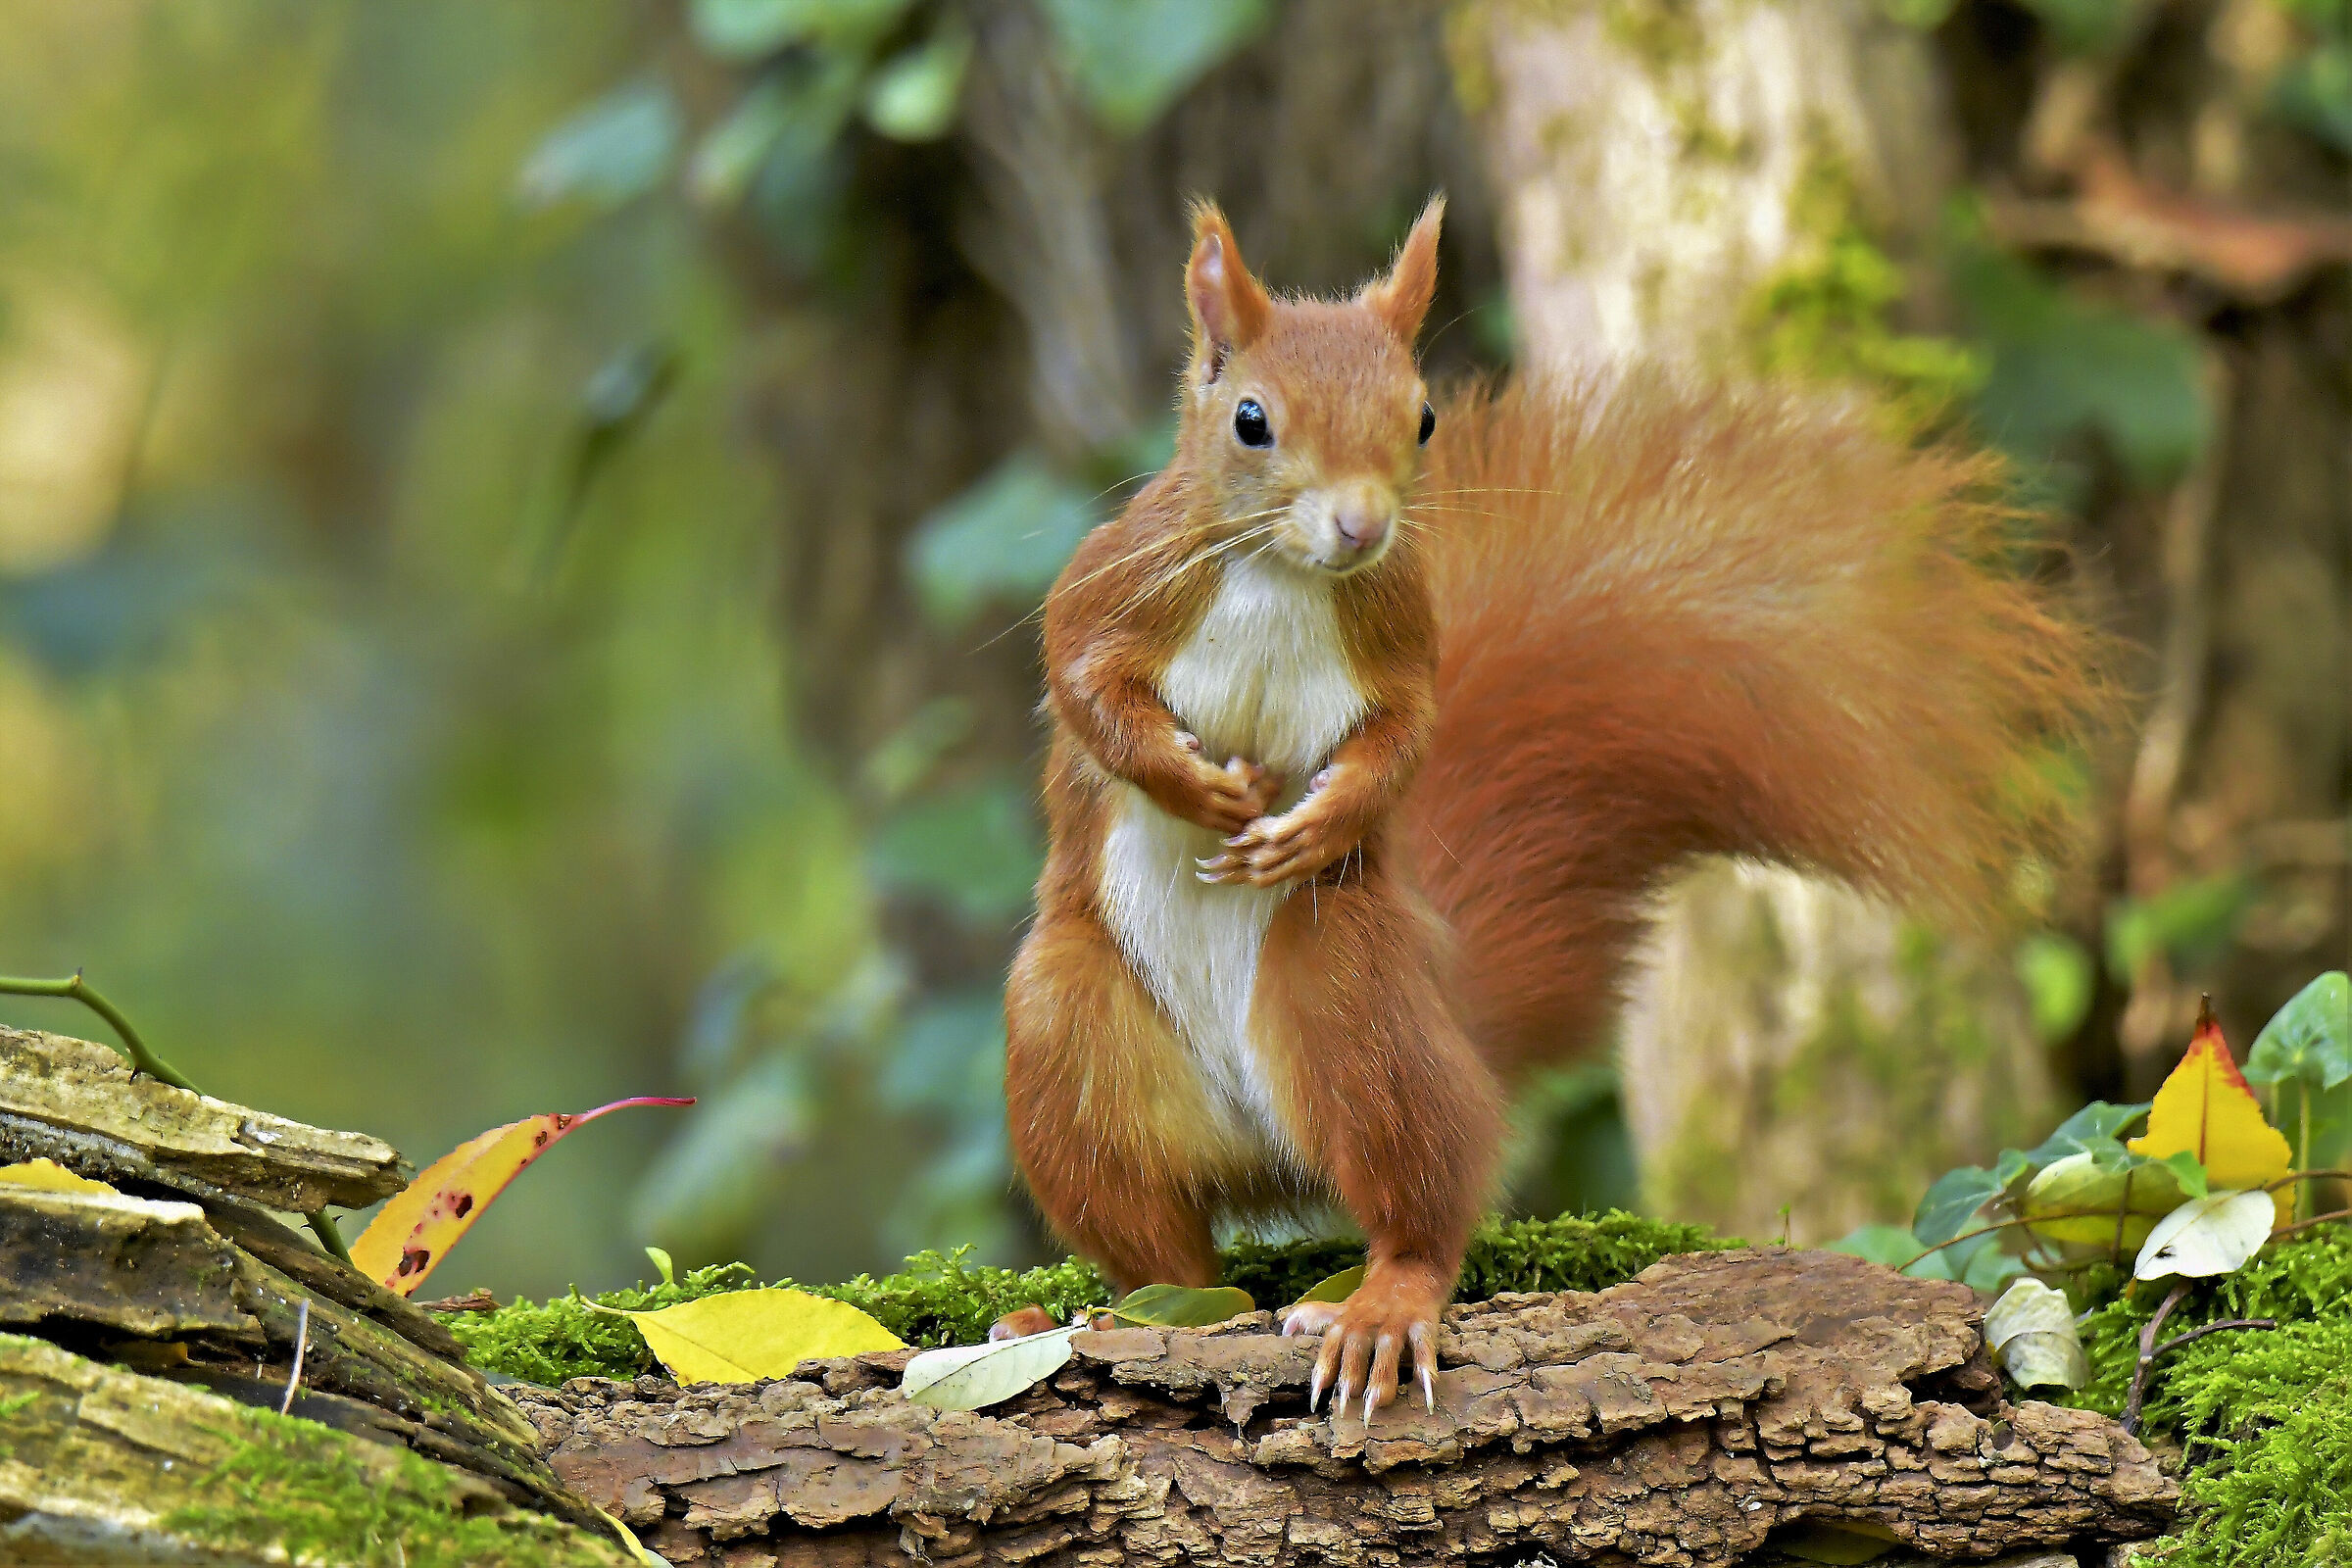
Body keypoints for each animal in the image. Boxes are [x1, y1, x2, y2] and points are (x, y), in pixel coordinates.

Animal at [994, 197, 2103, 1420]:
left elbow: (1403, 742)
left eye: (1423, 415)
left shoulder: (1401, 636)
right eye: (1250, 420)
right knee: (1176, 1261)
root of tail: (1262, 1149)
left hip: (1350, 999)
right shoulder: (1117, 582)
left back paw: (1380, 1305)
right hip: (1071, 1040)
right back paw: (1088, 1318)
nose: (1361, 527)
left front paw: (1319, 821)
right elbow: (1082, 684)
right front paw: (1198, 782)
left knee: (1420, 1206)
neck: (1285, 576)